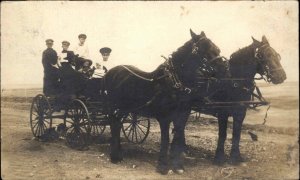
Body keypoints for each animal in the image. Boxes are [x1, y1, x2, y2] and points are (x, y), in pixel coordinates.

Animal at [103, 29, 223, 174]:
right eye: (204, 49)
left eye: (217, 48)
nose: (224, 68)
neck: (173, 82)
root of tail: (110, 72)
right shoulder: (164, 117)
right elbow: (165, 139)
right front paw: (162, 166)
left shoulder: (183, 116)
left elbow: (178, 137)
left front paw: (178, 166)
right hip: (114, 107)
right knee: (114, 124)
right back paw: (115, 156)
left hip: (124, 109)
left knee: (117, 124)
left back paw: (119, 152)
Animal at [192, 35, 286, 165]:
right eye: (265, 55)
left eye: (276, 55)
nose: (282, 76)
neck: (233, 81)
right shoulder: (222, 112)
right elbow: (223, 134)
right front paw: (219, 157)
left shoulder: (241, 112)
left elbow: (237, 134)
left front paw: (236, 157)